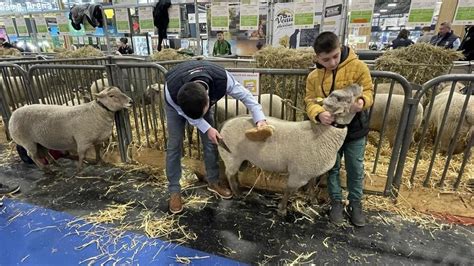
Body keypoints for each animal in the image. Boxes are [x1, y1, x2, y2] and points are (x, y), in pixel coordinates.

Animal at [219, 84, 362, 215]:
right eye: (339, 98)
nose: (357, 85)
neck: (322, 131)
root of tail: (224, 124)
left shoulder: (312, 170)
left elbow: (311, 186)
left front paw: (313, 200)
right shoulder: (299, 174)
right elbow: (289, 190)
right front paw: (282, 209)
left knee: (234, 174)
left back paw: (239, 189)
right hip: (231, 156)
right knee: (229, 174)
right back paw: (237, 193)